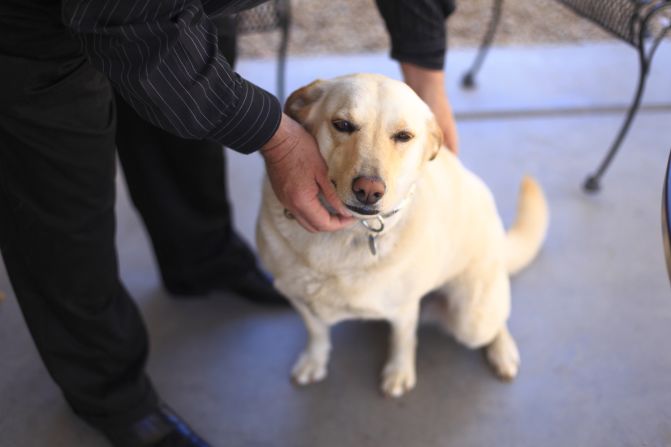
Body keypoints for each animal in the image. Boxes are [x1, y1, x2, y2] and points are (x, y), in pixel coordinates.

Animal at [255, 74, 548, 400]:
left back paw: (503, 352)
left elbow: (403, 341)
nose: (368, 190)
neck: (348, 233)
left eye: (403, 136)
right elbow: (316, 332)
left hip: (473, 319)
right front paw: (313, 361)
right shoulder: (295, 296)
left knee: (498, 322)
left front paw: (398, 373)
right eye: (342, 124)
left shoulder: (404, 309)